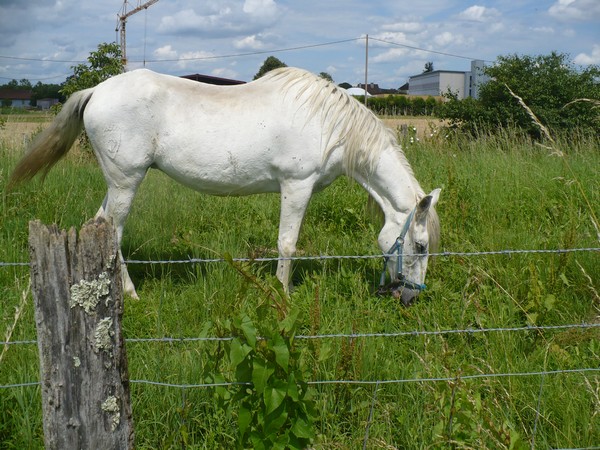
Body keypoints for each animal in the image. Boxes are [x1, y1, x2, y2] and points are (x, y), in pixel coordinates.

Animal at [8, 67, 440, 304]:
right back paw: (130, 294)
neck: (329, 125)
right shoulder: (296, 186)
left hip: (117, 183)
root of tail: (97, 90)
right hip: (125, 182)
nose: (410, 298)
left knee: (99, 224)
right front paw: (283, 296)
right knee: (112, 232)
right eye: (420, 246)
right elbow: (287, 244)